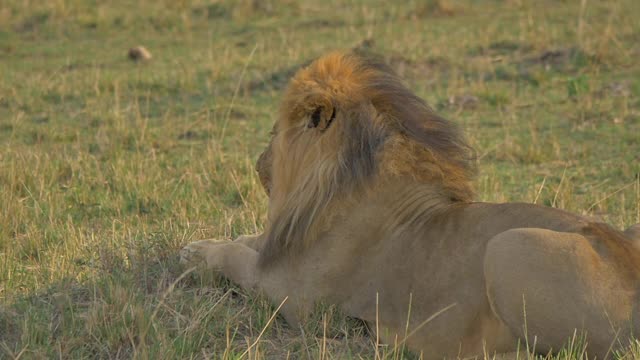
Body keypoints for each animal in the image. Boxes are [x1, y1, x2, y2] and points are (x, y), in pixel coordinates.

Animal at [179, 52, 640, 358]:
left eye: (274, 131)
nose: (258, 159)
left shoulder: (295, 296)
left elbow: (237, 258)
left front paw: (198, 254)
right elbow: (248, 240)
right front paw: (197, 245)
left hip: (508, 247)